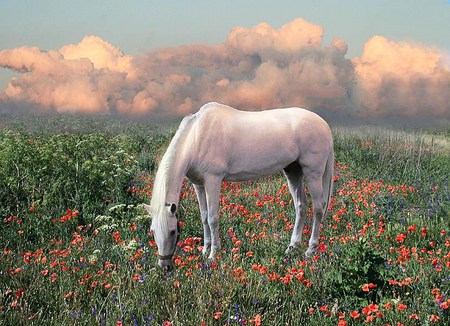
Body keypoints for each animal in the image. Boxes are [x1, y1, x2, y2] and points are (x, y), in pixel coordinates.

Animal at [144, 102, 334, 270]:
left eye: (172, 231)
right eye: (153, 231)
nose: (165, 266)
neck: (196, 138)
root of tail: (325, 125)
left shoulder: (213, 180)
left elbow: (212, 218)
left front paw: (214, 254)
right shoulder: (198, 184)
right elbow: (204, 217)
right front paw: (205, 250)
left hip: (313, 173)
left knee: (318, 208)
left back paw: (310, 250)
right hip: (293, 171)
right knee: (301, 206)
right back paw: (292, 247)